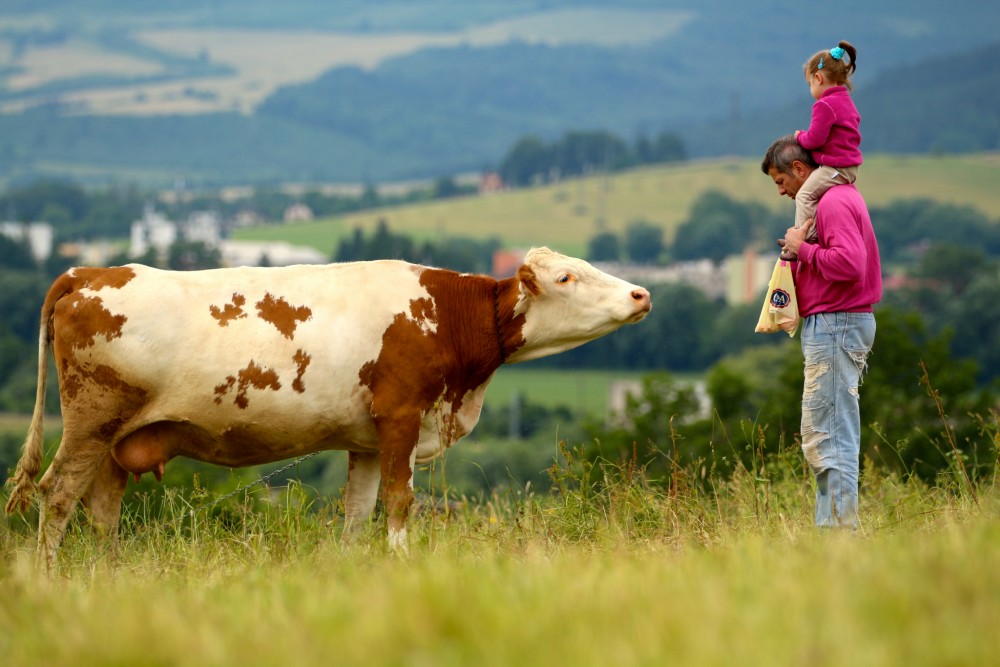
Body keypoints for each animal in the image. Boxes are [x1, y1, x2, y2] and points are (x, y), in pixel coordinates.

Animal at [3, 245, 652, 568]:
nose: (642, 293)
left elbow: (356, 513)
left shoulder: (365, 438)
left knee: (102, 509)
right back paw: (50, 579)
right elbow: (399, 501)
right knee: (57, 494)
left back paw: (107, 576)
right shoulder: (401, 417)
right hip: (91, 420)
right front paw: (400, 562)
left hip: (116, 439)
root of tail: (92, 271)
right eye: (566, 277)